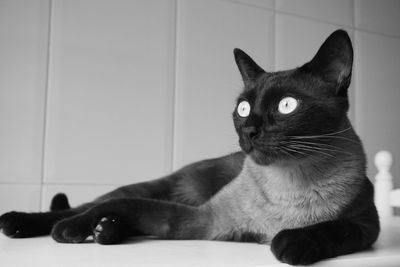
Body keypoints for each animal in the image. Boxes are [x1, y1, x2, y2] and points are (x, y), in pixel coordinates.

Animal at [0, 29, 378, 266]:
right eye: (243, 108)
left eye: (287, 106)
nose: (250, 131)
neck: (289, 185)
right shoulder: (198, 222)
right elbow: (121, 205)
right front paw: (70, 232)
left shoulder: (365, 226)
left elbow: (335, 229)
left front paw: (289, 243)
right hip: (157, 189)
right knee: (88, 205)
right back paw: (27, 224)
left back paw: (105, 231)